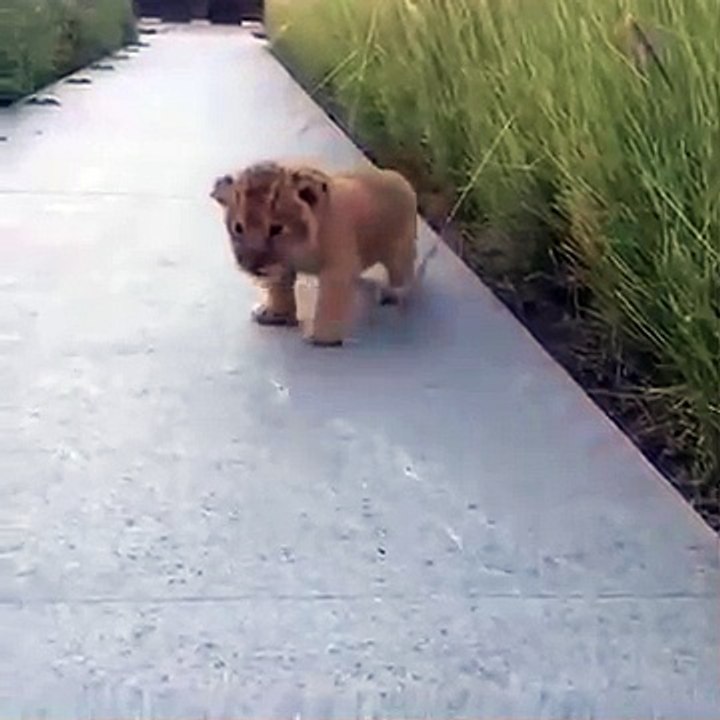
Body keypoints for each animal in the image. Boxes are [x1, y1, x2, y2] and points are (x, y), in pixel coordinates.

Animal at [210, 160, 427, 346]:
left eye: (276, 229)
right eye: (238, 228)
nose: (253, 268)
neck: (300, 245)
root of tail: (398, 176)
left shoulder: (337, 268)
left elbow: (329, 303)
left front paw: (321, 339)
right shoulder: (281, 266)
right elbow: (280, 288)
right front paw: (275, 315)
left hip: (400, 249)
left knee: (404, 274)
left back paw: (393, 294)